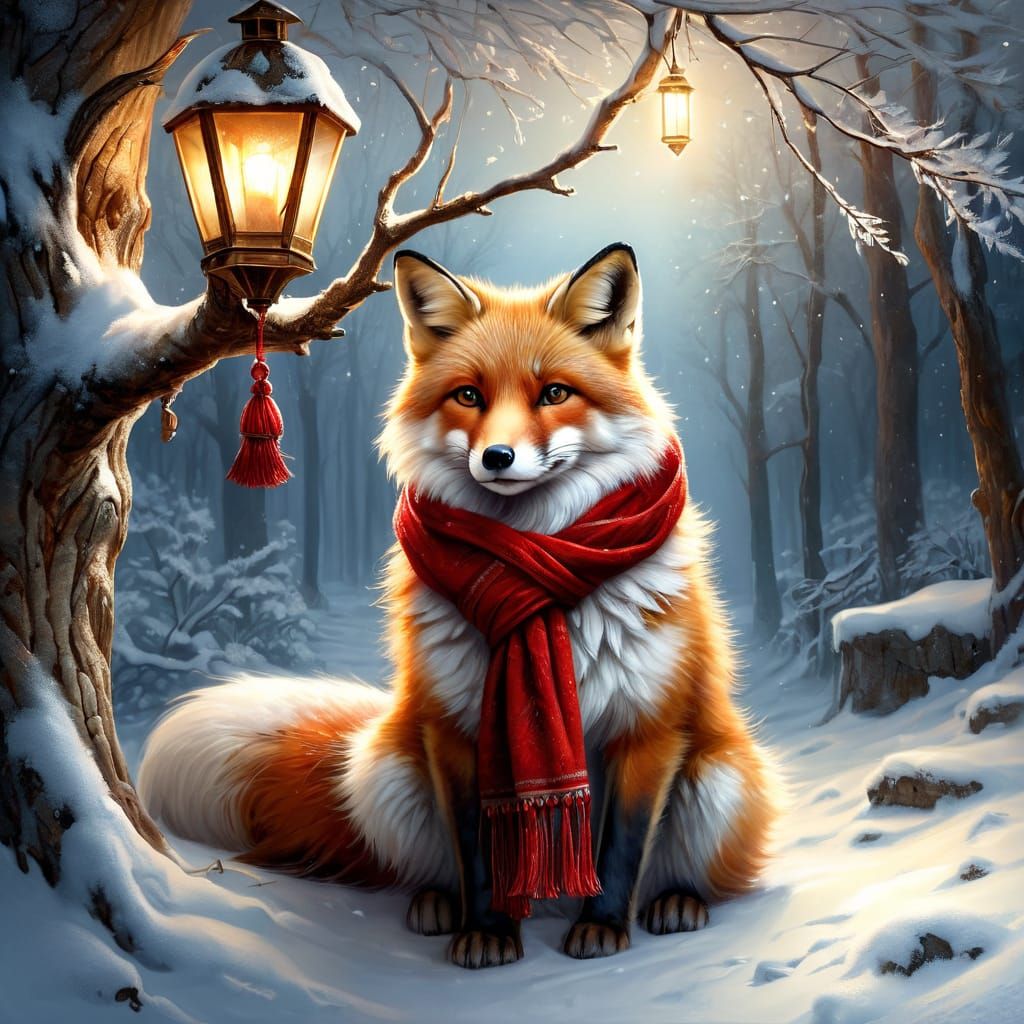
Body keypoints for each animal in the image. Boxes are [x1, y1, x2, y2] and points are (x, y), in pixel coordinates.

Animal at [138, 242, 779, 969]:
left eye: (554, 393)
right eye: (469, 395)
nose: (497, 457)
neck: (536, 568)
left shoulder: (649, 726)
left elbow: (620, 847)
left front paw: (604, 929)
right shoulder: (456, 729)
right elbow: (478, 850)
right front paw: (488, 933)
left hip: (720, 777)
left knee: (695, 869)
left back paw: (677, 902)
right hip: (387, 767)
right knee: (429, 867)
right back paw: (437, 906)